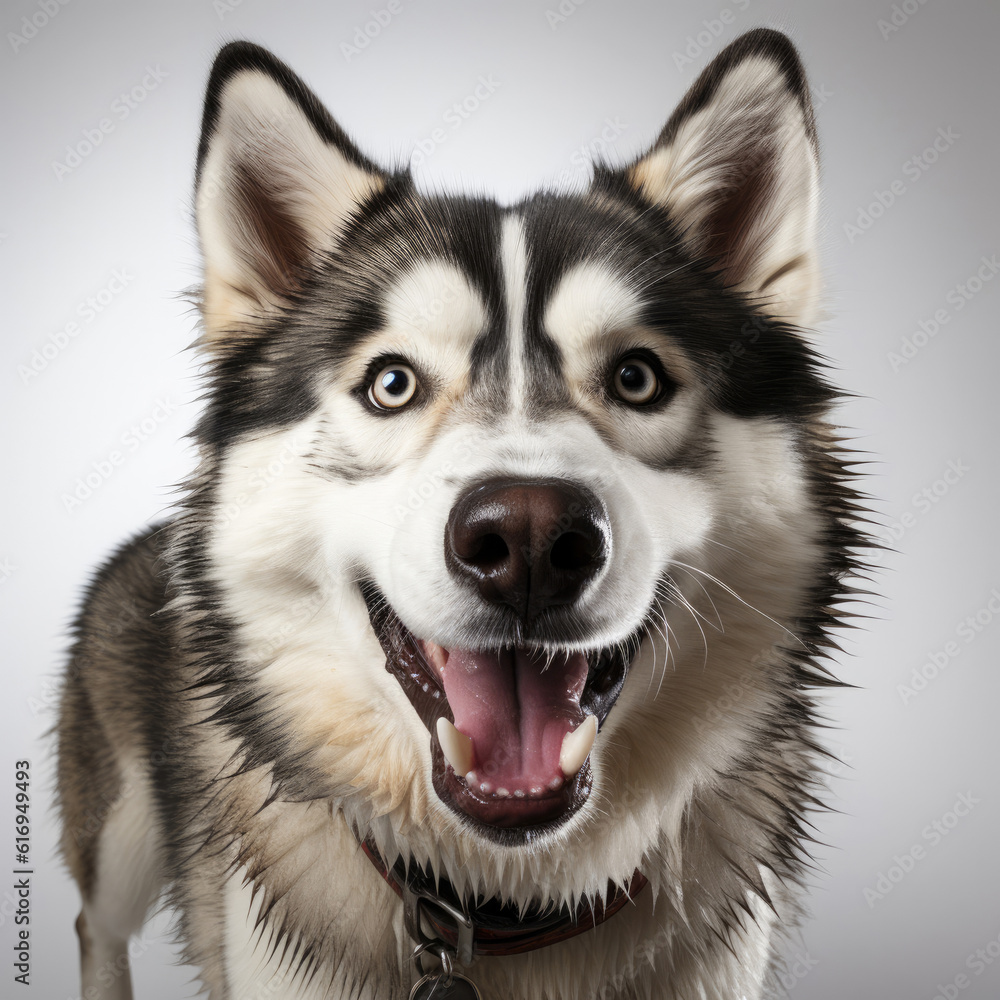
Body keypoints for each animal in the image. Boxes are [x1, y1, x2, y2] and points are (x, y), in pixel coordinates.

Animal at [58, 29, 864, 1000]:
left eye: (637, 377)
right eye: (392, 382)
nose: (527, 538)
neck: (506, 901)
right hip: (119, 836)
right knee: (95, 922)